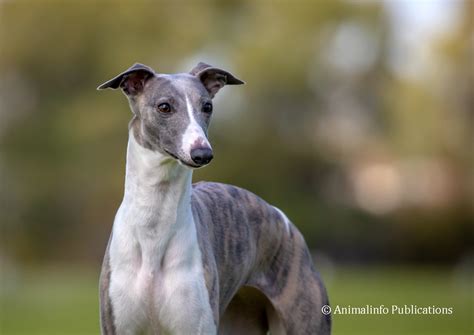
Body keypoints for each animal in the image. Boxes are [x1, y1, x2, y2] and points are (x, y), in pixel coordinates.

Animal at [98, 63, 332, 335]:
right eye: (164, 106)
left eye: (207, 106)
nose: (202, 153)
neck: (153, 230)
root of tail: (283, 219)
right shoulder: (117, 326)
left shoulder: (195, 325)